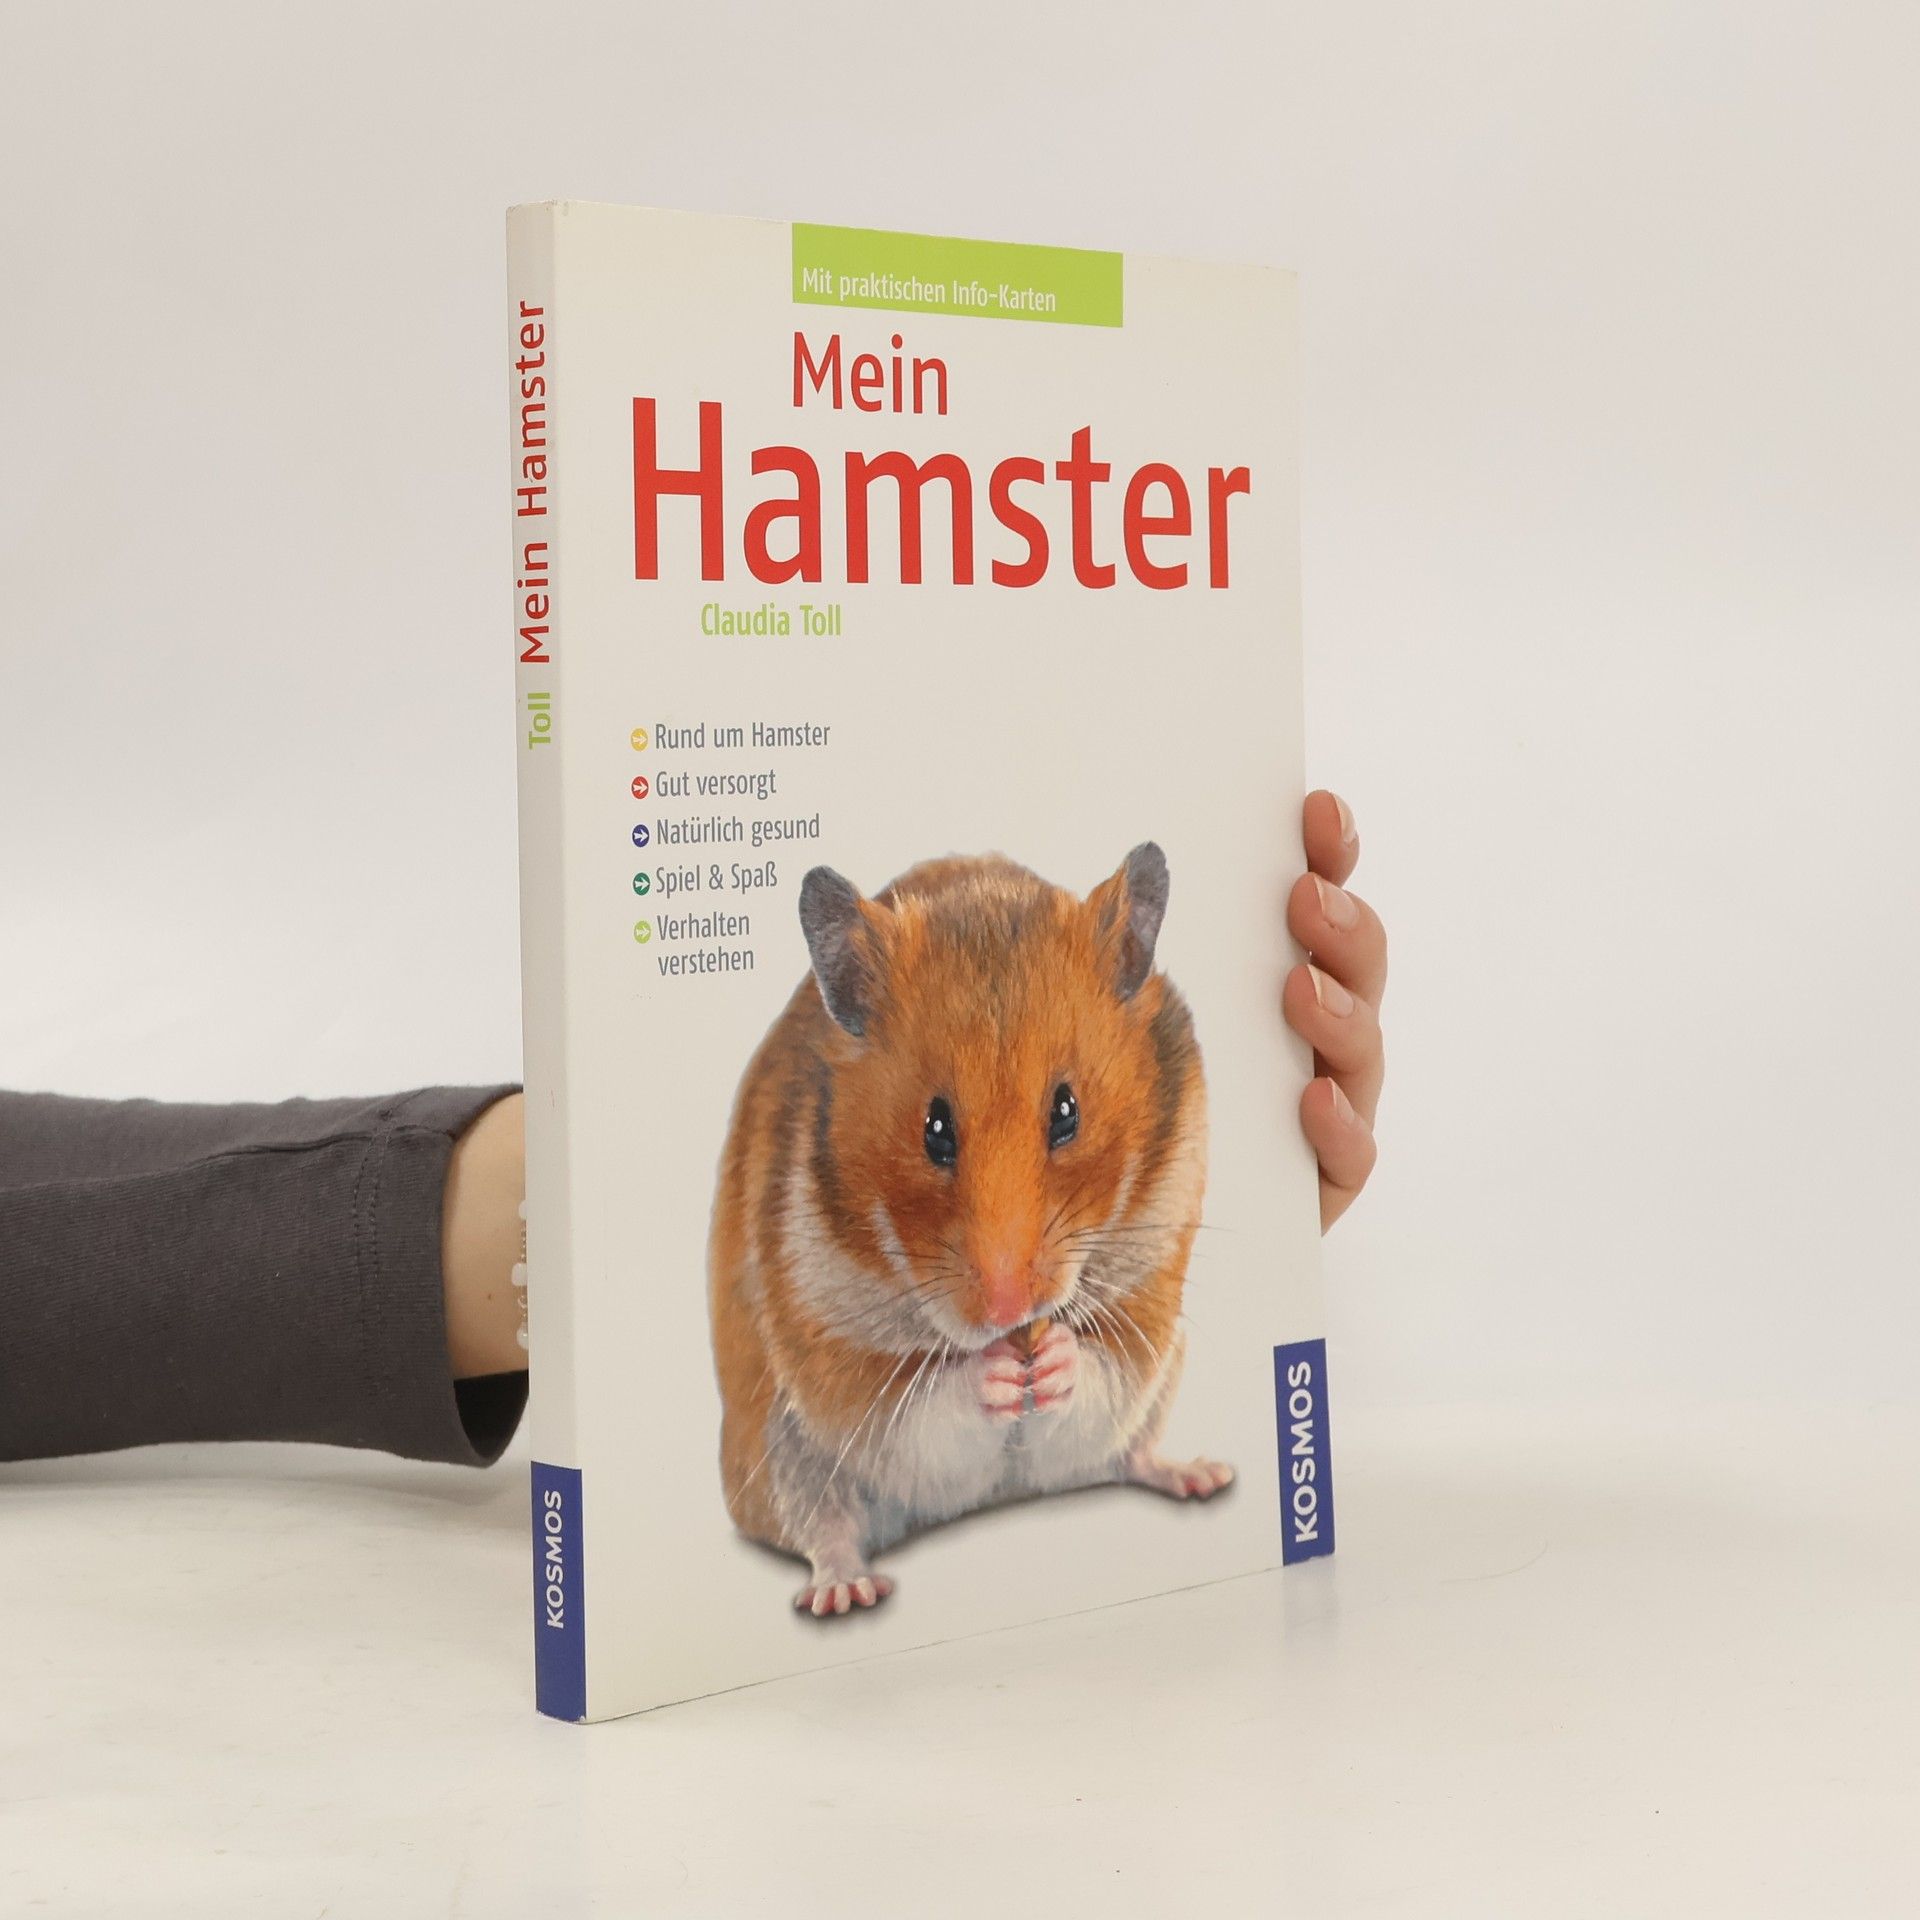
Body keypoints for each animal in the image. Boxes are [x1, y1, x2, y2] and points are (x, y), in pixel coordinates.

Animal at [707, 843, 1231, 1618]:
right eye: (934, 1129)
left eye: (1068, 1111)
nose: (1009, 1310)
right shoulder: (834, 1356)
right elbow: (920, 1408)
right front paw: (994, 1374)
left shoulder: (1148, 1292)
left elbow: (1106, 1369)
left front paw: (1051, 1359)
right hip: (775, 1446)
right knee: (823, 1525)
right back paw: (845, 1591)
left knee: (1126, 1452)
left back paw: (1201, 1475)